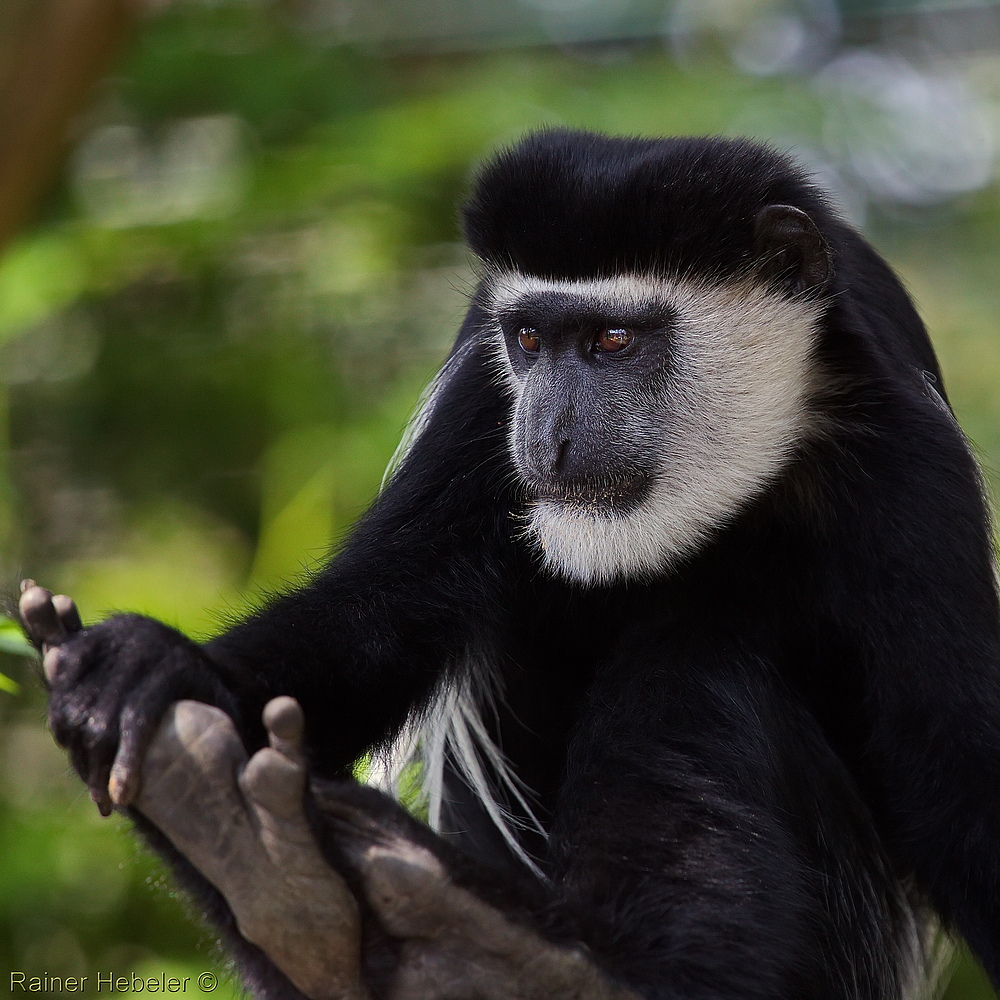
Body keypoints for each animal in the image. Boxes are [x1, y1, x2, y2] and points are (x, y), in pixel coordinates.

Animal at [25, 131, 1000, 1000]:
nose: (549, 437)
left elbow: (950, 768)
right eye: (531, 341)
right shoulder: (480, 407)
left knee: (703, 661)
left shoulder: (907, 465)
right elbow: (378, 616)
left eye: (613, 341)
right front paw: (156, 665)